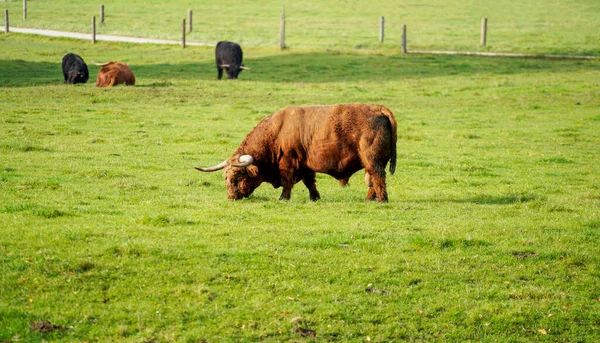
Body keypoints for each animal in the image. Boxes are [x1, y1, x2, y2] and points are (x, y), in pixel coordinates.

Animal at [195, 103, 396, 203]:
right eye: (225, 178)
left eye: (237, 177)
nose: (231, 197)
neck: (276, 132)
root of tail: (378, 108)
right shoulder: (306, 165)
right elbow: (310, 183)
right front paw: (315, 198)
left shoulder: (289, 163)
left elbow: (287, 182)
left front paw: (283, 198)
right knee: (373, 180)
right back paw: (370, 198)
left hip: (373, 160)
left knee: (378, 178)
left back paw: (381, 200)